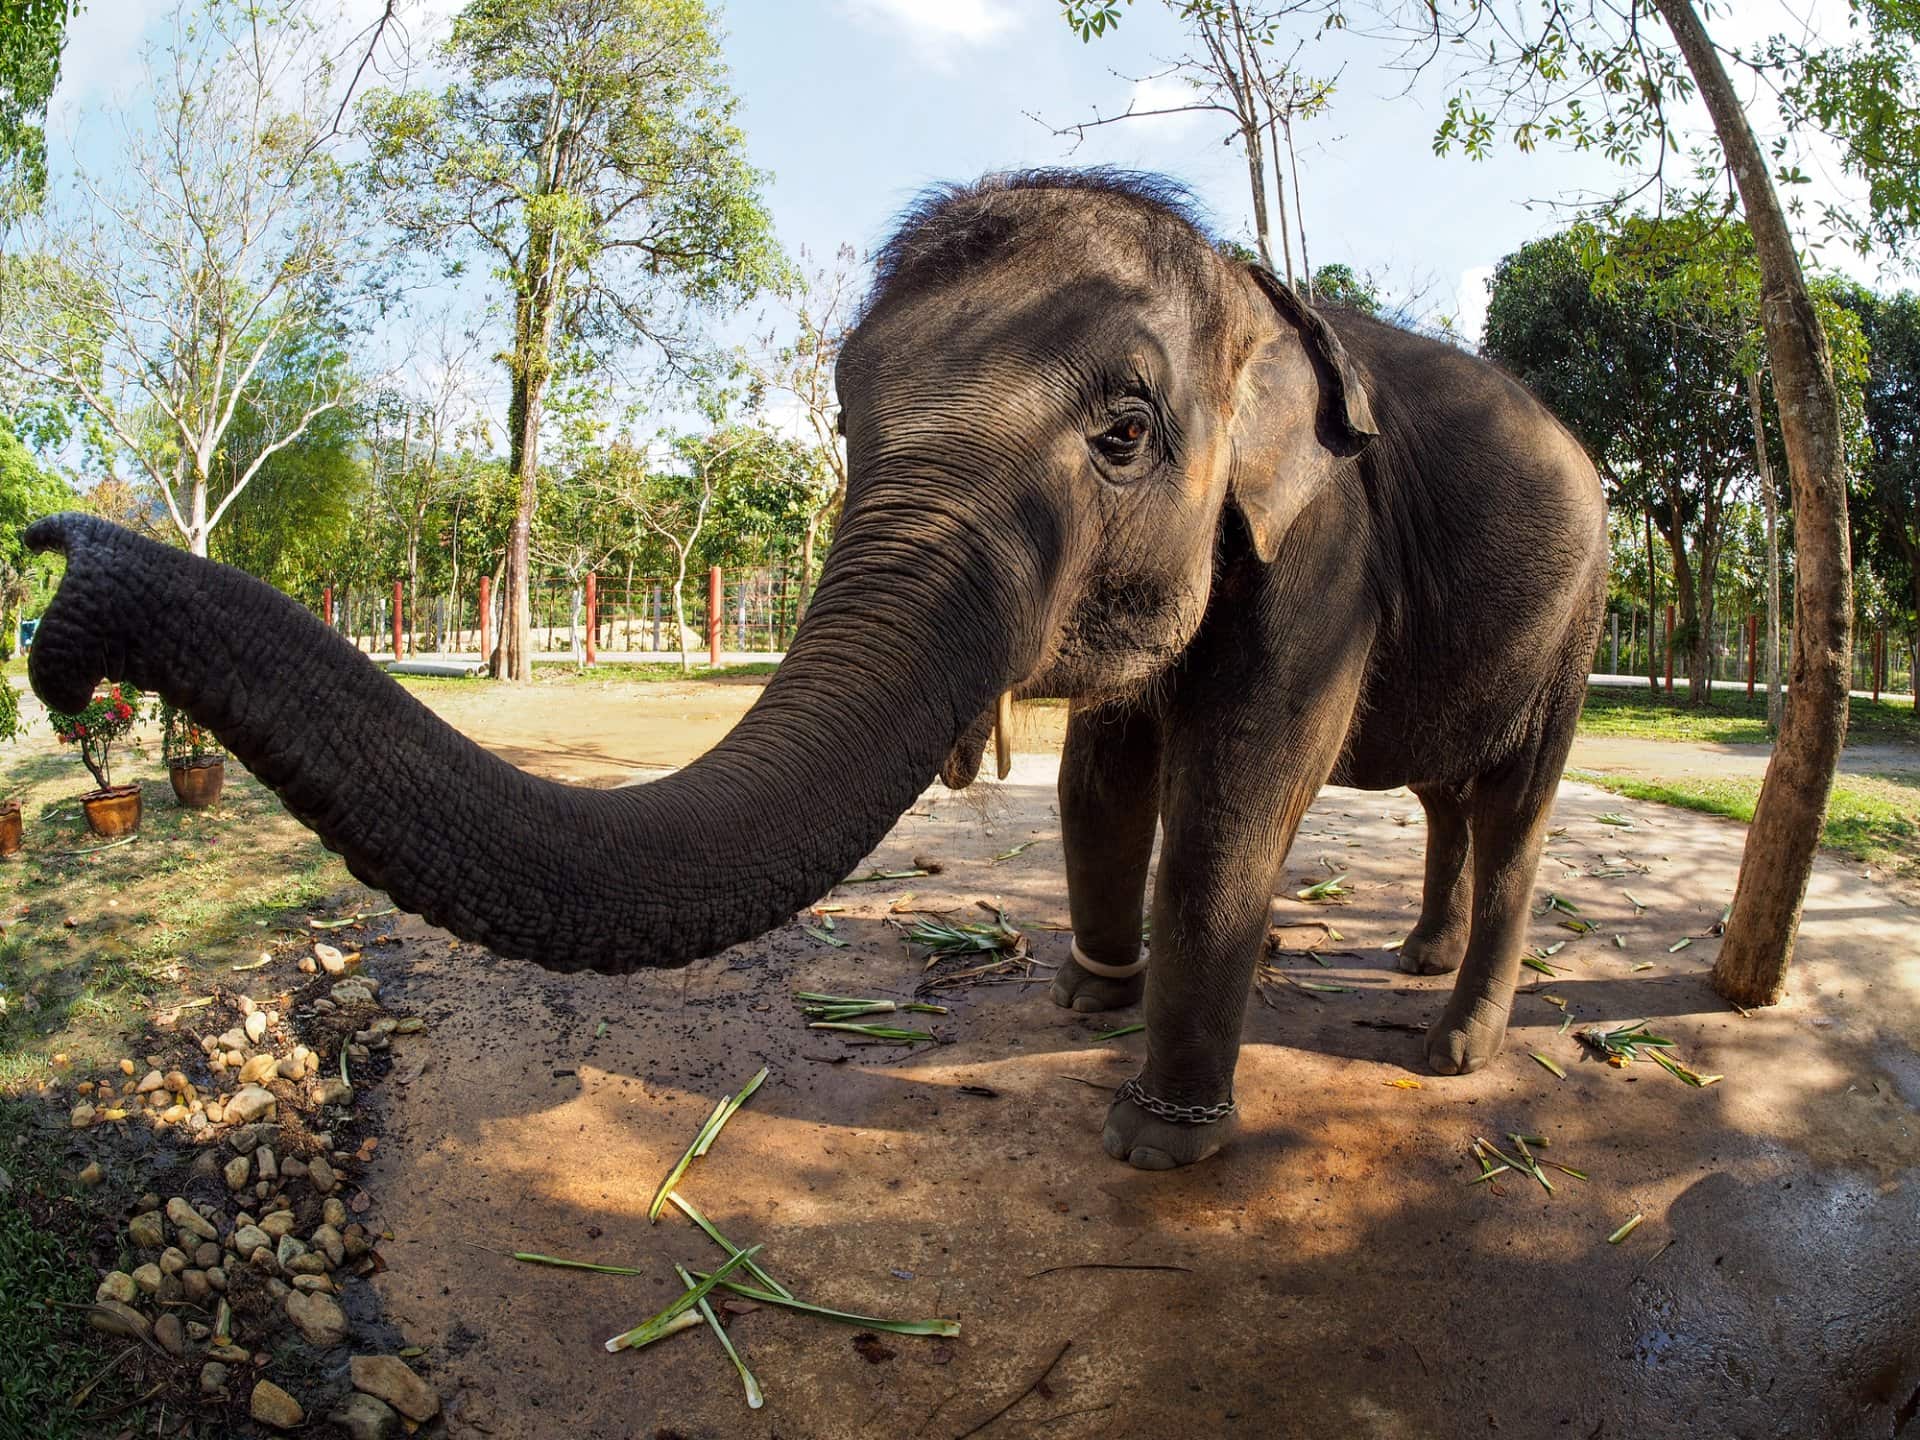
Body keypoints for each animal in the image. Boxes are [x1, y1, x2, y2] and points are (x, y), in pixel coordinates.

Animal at [22, 169, 1607, 1171]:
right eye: (846, 424)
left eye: (1125, 435)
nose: (56, 574)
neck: (1244, 289)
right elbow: (1105, 776)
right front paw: (1088, 1007)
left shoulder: (1328, 556)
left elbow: (1231, 806)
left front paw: (1161, 1145)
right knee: (1455, 802)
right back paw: (1412, 958)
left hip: (1584, 617)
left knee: (1519, 811)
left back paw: (1454, 1045)